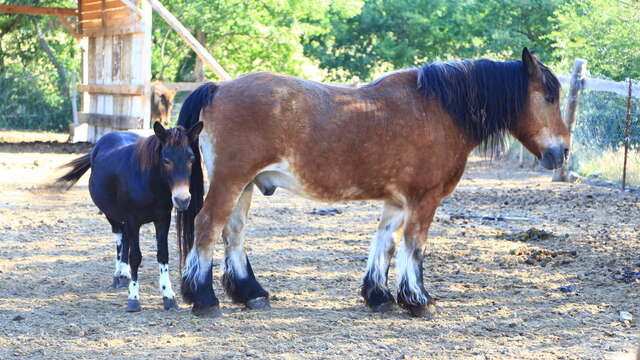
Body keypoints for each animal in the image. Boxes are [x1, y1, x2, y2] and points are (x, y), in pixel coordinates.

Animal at [174, 48, 564, 318]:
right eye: (548, 97)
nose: (561, 152)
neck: (438, 110)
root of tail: (218, 88)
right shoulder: (424, 199)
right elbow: (414, 246)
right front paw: (418, 300)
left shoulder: (397, 201)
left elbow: (385, 244)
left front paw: (379, 296)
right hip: (230, 181)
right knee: (207, 226)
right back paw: (204, 298)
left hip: (246, 186)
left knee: (233, 232)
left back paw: (251, 293)